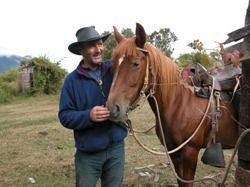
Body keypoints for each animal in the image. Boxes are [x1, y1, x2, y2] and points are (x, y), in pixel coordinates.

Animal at [106, 22, 239, 186]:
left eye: (136, 64)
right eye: (113, 64)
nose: (112, 108)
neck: (178, 103)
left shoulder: (190, 151)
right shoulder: (174, 151)